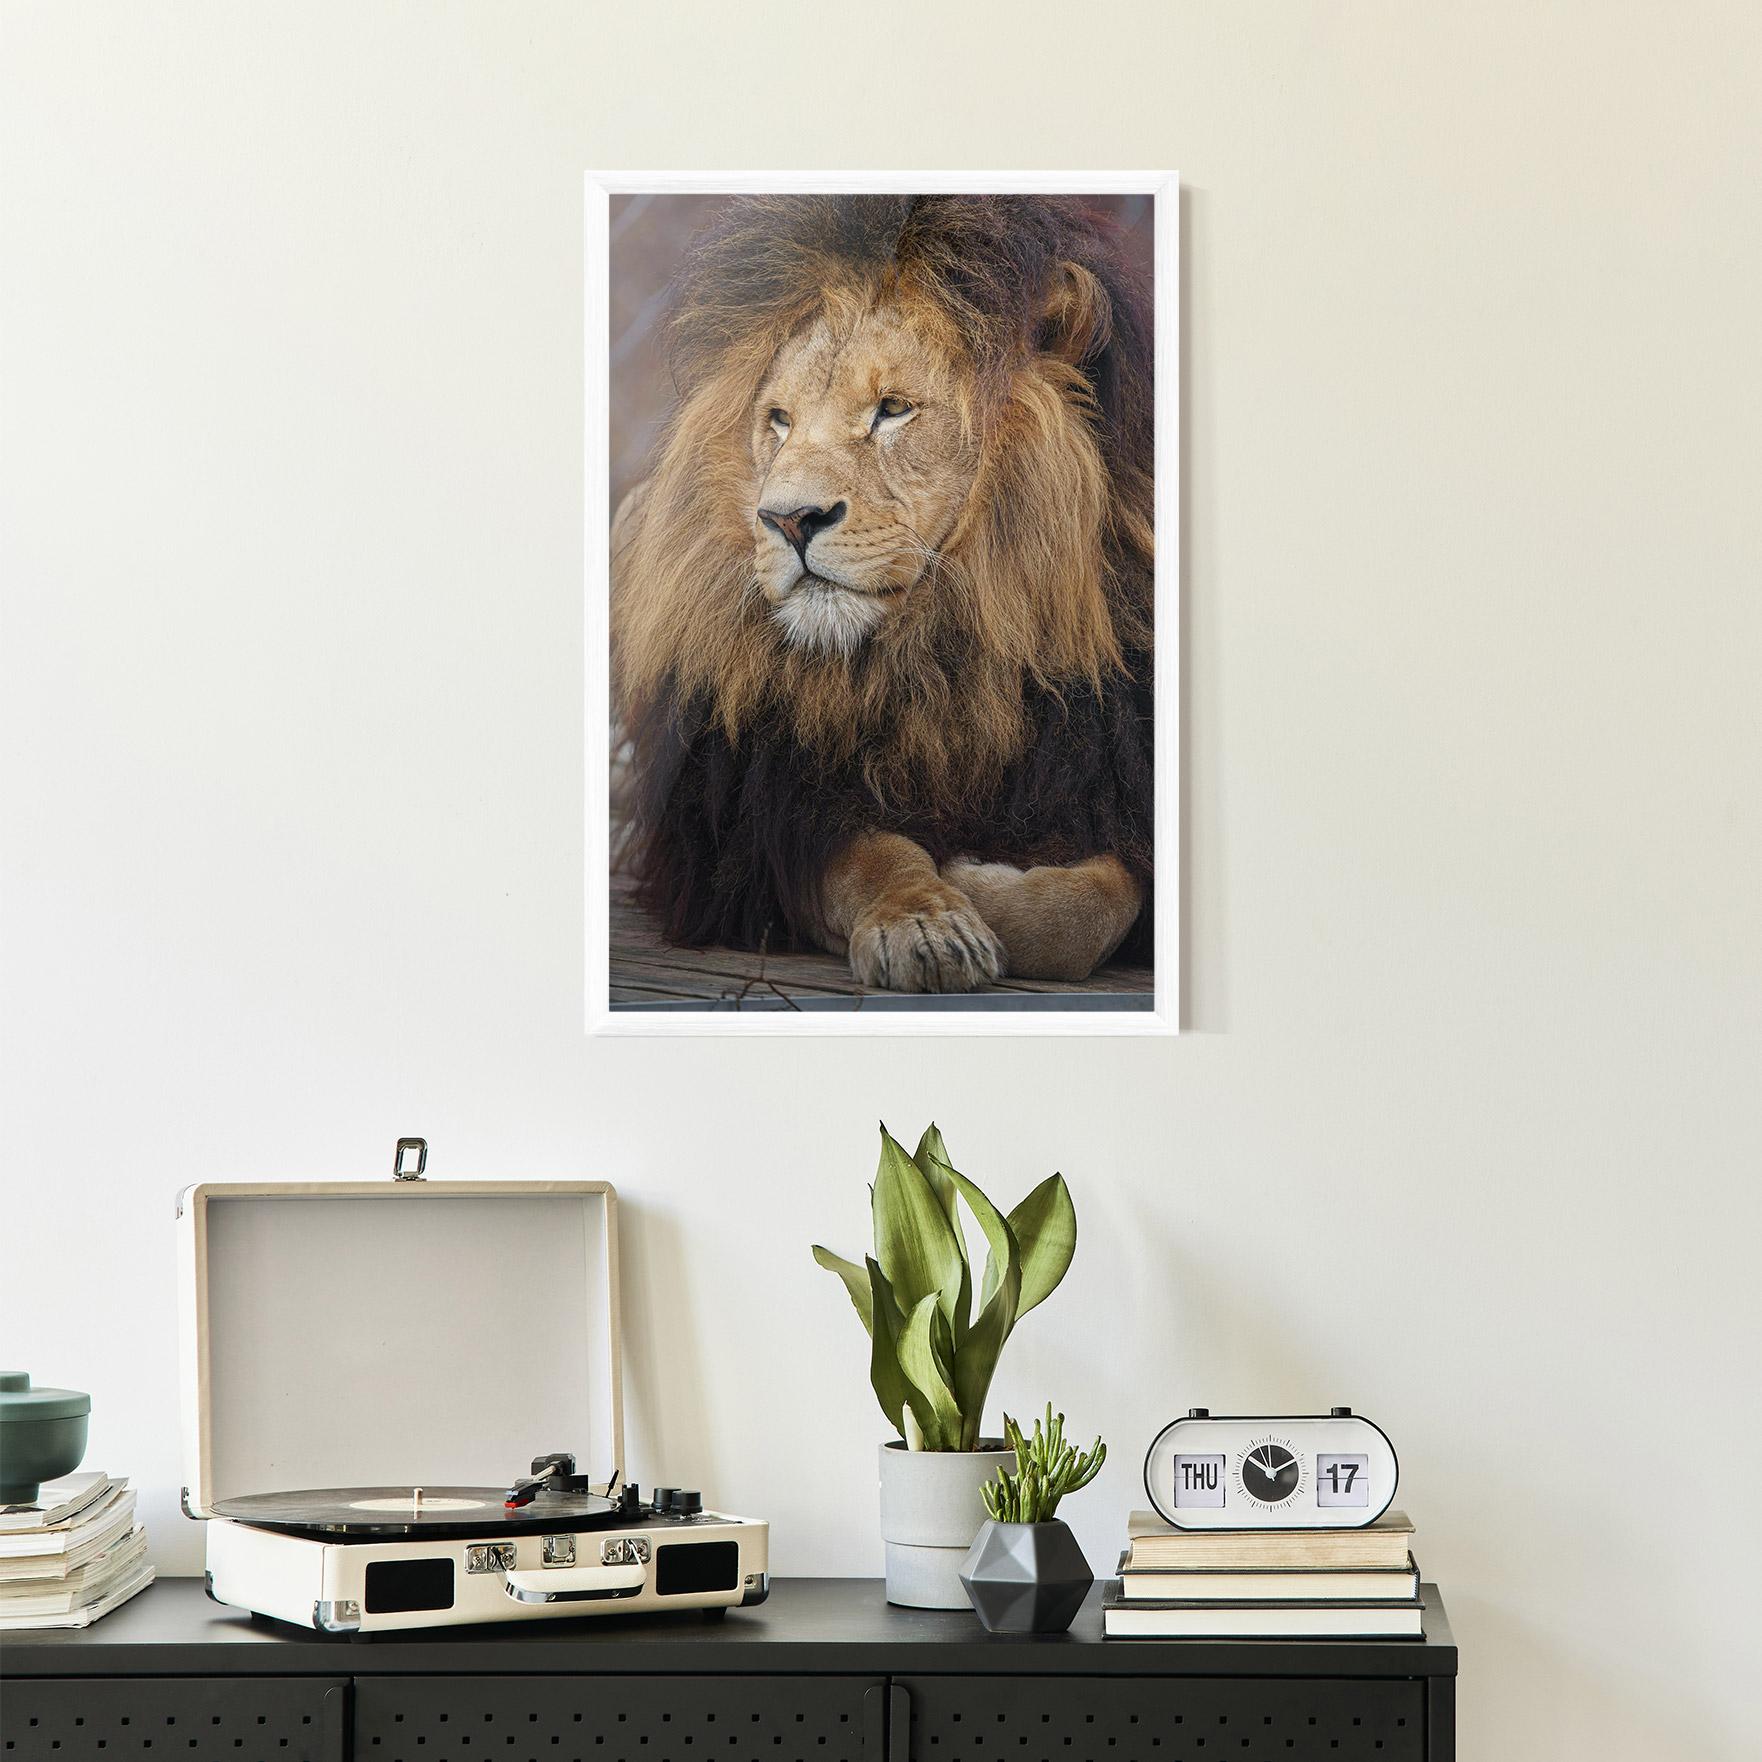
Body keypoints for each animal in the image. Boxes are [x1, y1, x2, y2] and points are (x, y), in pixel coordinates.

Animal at [611, 195, 1154, 994]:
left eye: (893, 409)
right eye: (779, 421)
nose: (787, 519)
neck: (943, 655)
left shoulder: (1107, 785)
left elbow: (1088, 910)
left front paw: (982, 876)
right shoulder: (763, 822)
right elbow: (873, 859)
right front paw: (928, 923)